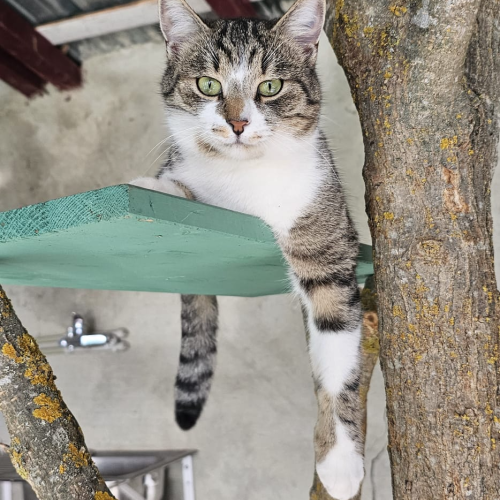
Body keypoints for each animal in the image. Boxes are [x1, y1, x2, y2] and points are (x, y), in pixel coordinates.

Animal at [133, 0, 366, 496]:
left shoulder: (328, 251)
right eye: (208, 84)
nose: (238, 122)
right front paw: (154, 187)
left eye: (270, 87)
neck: (245, 182)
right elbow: (181, 188)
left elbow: (338, 356)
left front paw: (340, 462)